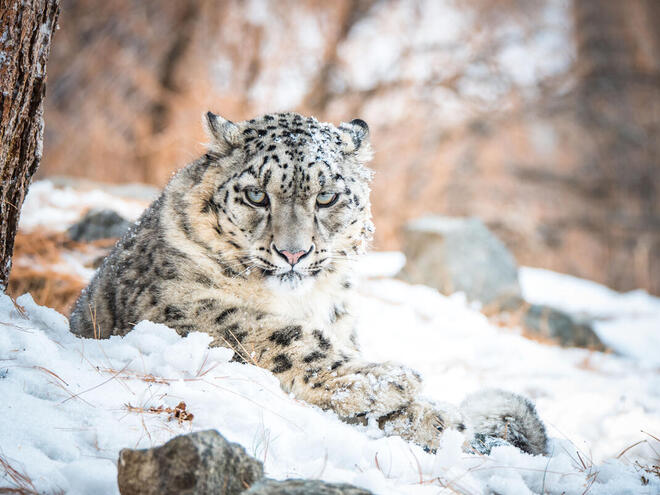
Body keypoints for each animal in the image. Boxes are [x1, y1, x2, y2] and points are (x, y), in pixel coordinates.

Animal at [69, 111, 547, 455]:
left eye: (327, 196)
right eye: (256, 195)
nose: (293, 253)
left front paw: (437, 420)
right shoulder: (172, 304)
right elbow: (273, 333)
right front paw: (393, 380)